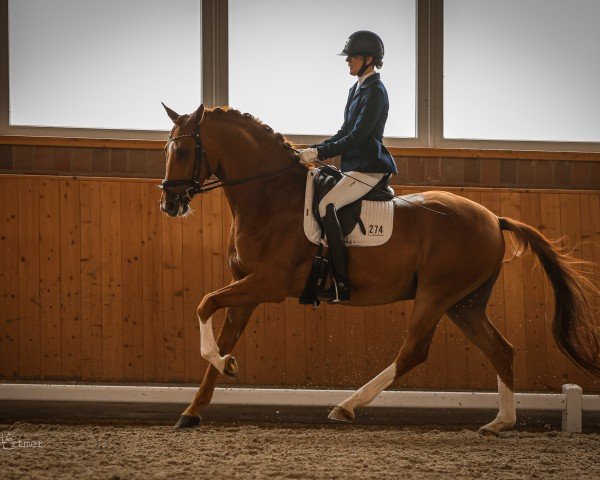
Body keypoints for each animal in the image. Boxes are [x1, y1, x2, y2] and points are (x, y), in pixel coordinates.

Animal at [157, 103, 596, 434]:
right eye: (167, 151)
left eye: (184, 152)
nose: (170, 204)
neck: (270, 196)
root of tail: (493, 217)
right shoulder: (246, 286)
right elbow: (221, 332)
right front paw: (197, 405)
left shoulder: (269, 284)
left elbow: (203, 303)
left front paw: (222, 367)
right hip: (465, 302)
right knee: (500, 349)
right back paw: (500, 423)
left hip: (436, 294)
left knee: (413, 351)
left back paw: (347, 406)